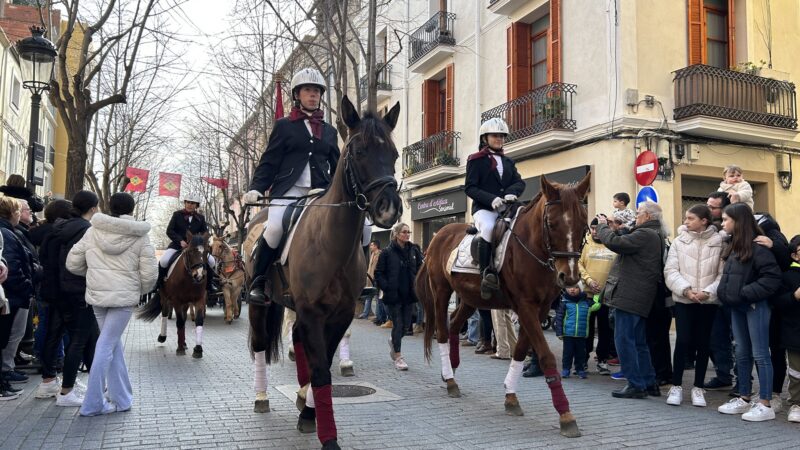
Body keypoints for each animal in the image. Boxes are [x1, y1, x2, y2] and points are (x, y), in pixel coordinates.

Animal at [416, 172, 592, 436]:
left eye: (583, 225)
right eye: (551, 224)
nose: (569, 277)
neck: (531, 247)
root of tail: (439, 234)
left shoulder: (539, 309)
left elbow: (520, 351)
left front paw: (510, 397)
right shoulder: (526, 305)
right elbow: (546, 356)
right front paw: (565, 415)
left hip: (471, 298)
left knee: (455, 324)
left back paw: (450, 371)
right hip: (441, 292)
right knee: (443, 332)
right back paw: (450, 380)